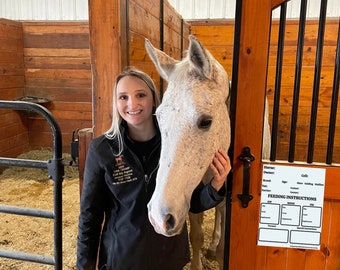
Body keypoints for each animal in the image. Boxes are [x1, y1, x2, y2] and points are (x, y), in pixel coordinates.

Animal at [146, 35, 231, 270]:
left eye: (206, 121)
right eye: (158, 116)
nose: (159, 218)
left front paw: (218, 250)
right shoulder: (190, 195)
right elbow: (196, 235)